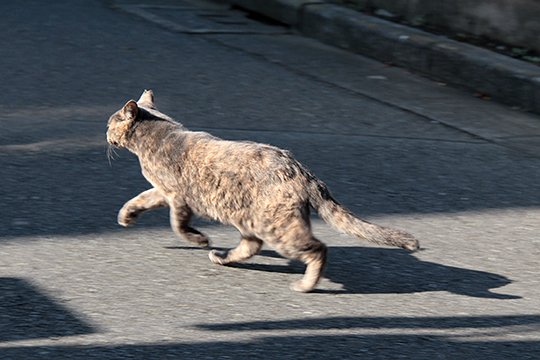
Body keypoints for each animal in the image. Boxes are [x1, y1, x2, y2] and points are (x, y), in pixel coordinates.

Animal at [107, 90, 420, 292]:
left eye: (110, 123)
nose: (105, 132)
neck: (158, 135)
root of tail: (303, 171)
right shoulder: (161, 191)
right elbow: (139, 199)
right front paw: (126, 216)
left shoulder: (177, 196)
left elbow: (178, 225)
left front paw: (199, 239)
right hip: (251, 219)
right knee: (251, 246)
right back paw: (223, 258)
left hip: (278, 227)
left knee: (317, 249)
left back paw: (305, 285)